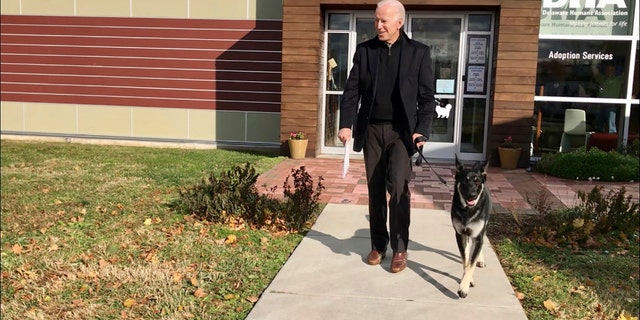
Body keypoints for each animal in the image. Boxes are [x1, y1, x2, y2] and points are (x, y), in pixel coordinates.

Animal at [450, 155, 490, 298]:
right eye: (465, 181)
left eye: (477, 182)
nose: (472, 195)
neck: (467, 210)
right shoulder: (460, 234)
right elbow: (466, 260)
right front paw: (467, 280)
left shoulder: (477, 235)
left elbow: (471, 263)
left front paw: (464, 287)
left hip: (483, 227)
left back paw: (480, 259)